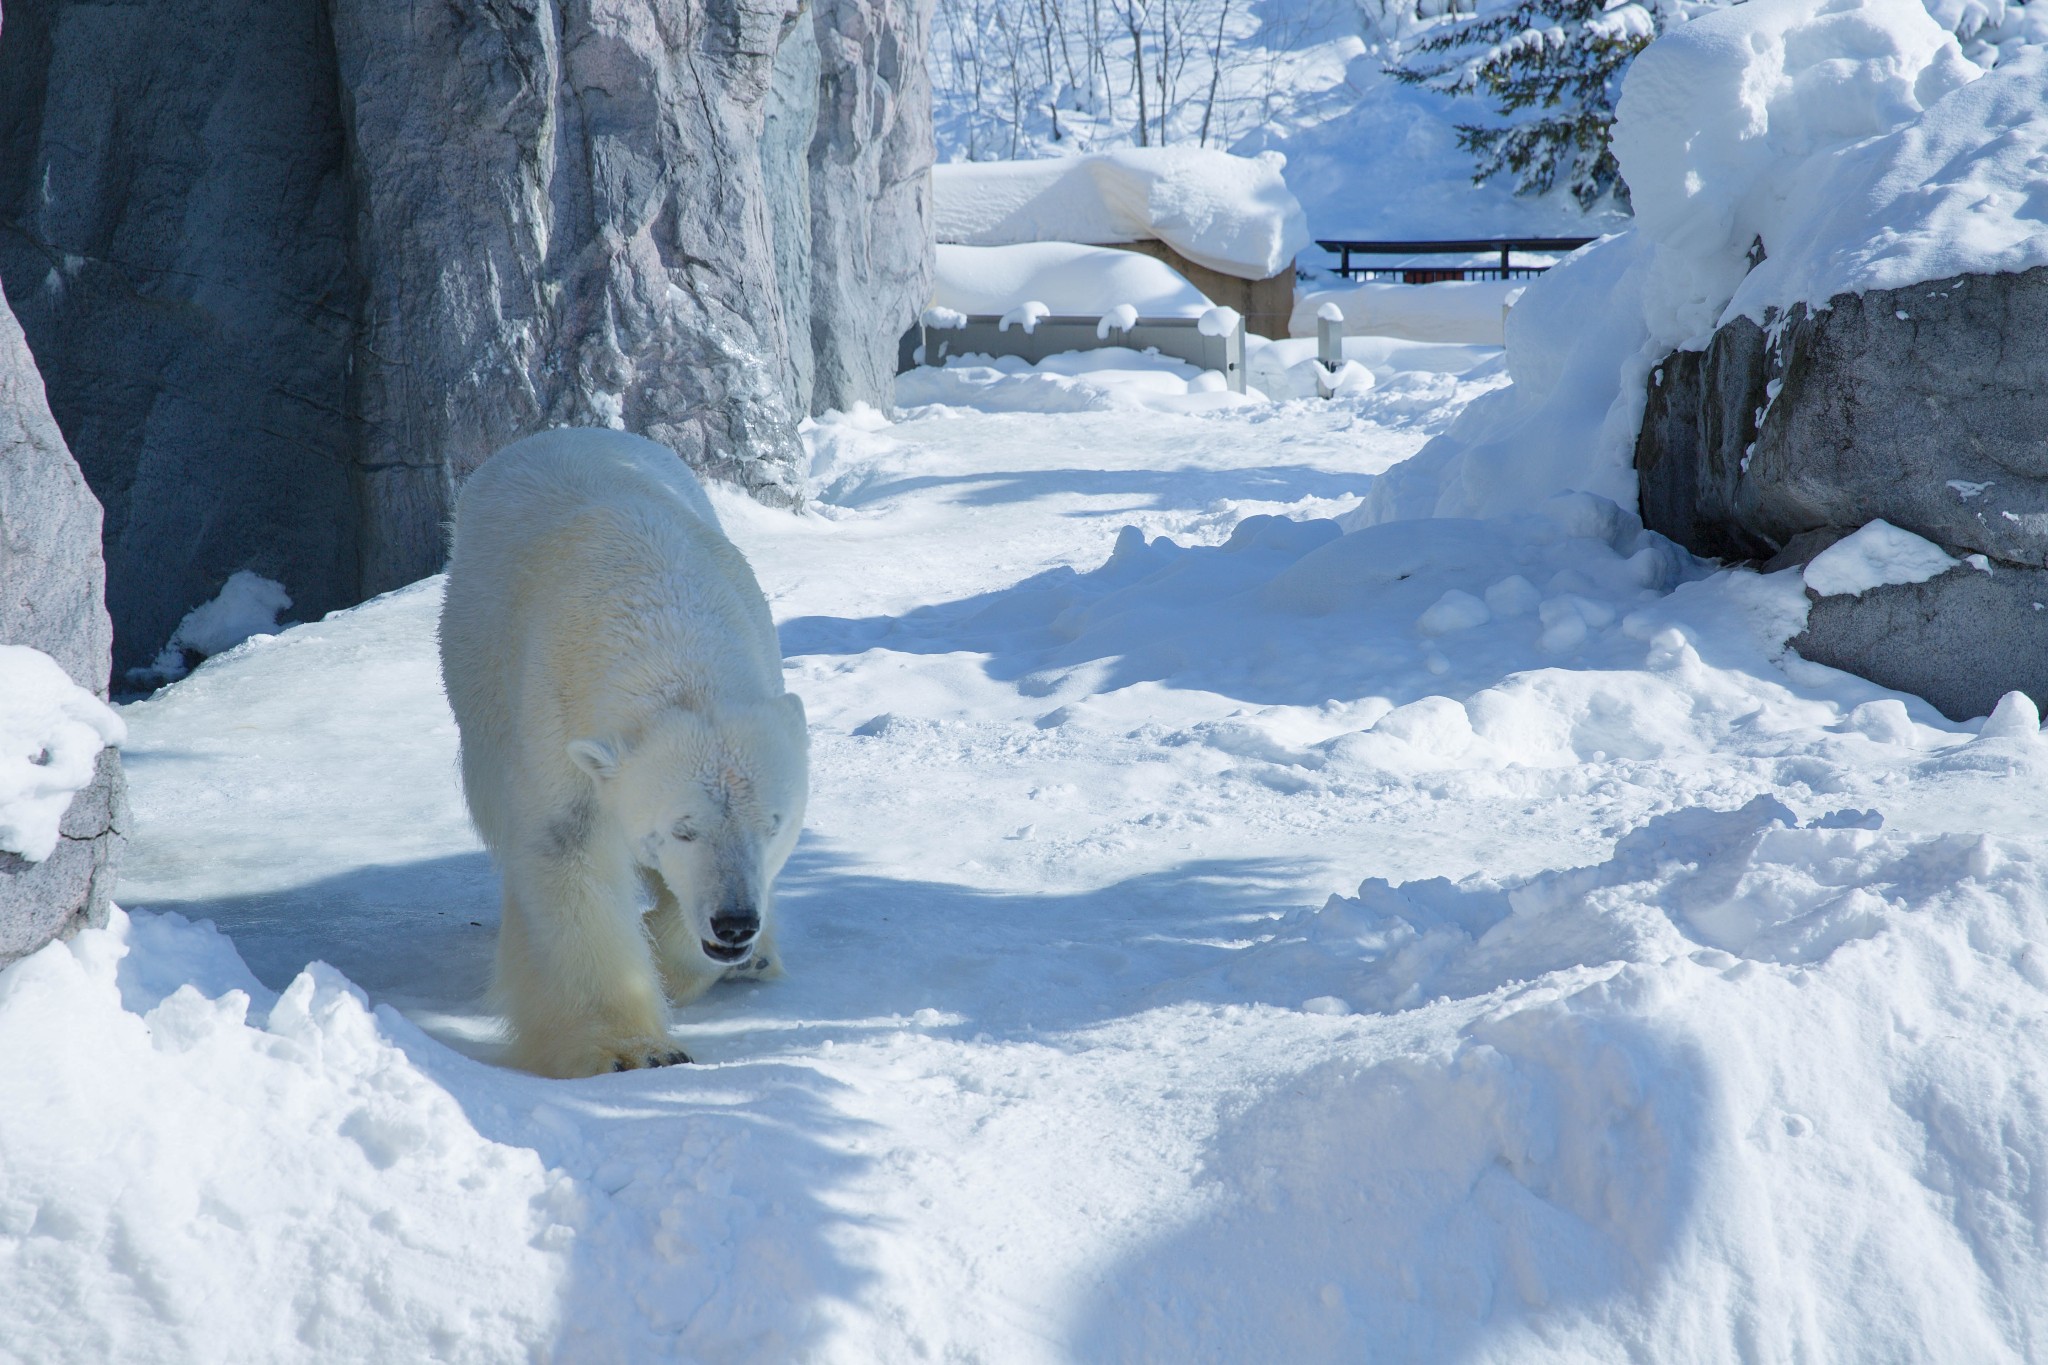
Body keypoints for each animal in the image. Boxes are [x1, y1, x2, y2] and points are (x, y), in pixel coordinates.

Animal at [440, 427, 806, 1080]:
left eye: (773, 825)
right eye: (682, 828)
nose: (735, 922)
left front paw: (709, 957)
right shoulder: (555, 724)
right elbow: (569, 858)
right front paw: (633, 1051)